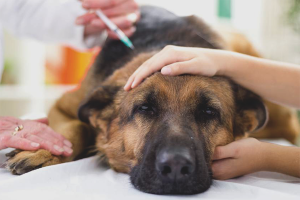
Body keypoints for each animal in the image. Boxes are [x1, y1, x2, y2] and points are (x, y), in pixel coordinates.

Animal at [5, 6, 298, 195]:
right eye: (144, 108)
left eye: (208, 112)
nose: (176, 167)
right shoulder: (64, 106)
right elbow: (75, 127)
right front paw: (46, 151)